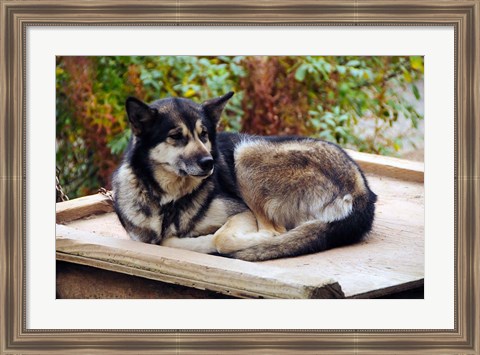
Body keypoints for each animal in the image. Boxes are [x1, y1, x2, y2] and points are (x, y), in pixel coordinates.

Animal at [110, 93, 376, 262]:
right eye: (176, 136)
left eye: (203, 135)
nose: (210, 162)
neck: (171, 200)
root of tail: (363, 192)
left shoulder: (241, 212)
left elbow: (217, 238)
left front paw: (208, 242)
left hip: (246, 153)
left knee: (274, 231)